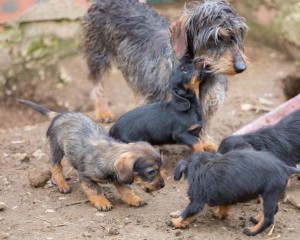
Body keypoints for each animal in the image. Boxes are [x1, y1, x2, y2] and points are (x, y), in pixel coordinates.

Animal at [17, 100, 165, 211]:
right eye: (151, 171)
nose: (163, 185)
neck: (109, 156)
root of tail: (58, 115)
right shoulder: (86, 177)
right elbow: (95, 189)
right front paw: (102, 202)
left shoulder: (119, 178)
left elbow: (126, 190)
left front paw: (134, 199)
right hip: (56, 149)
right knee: (55, 167)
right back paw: (62, 184)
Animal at [168, 150, 300, 236]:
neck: (203, 164)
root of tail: (286, 168)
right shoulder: (227, 195)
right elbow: (224, 205)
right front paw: (219, 214)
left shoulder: (196, 200)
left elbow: (187, 212)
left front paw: (175, 222)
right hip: (268, 194)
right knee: (274, 209)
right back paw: (257, 219)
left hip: (269, 194)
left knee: (269, 218)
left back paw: (252, 231)